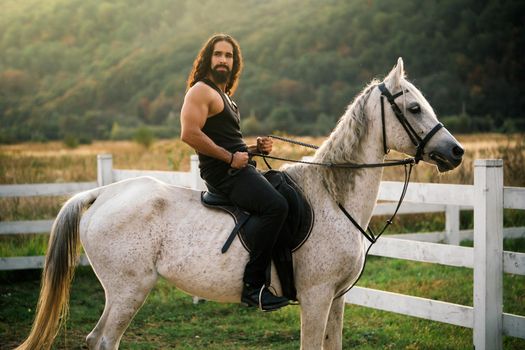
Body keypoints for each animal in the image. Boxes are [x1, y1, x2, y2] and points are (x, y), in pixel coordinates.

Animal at [16, 58, 460, 348]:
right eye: (414, 107)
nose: (455, 152)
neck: (333, 199)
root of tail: (103, 193)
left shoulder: (336, 299)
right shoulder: (316, 298)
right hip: (129, 290)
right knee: (103, 340)